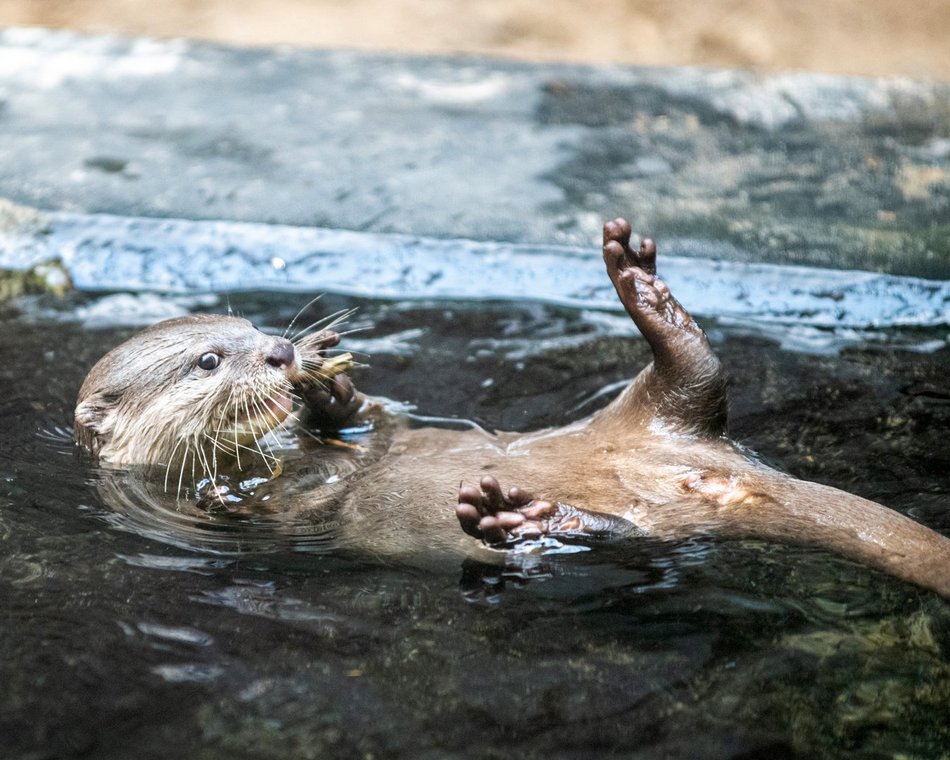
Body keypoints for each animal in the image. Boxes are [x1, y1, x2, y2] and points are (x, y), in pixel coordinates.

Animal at [76, 220, 950, 600]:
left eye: (253, 328)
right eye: (209, 360)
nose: (282, 354)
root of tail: (707, 472)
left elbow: (375, 430)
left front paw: (332, 395)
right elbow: (279, 504)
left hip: (646, 415)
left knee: (692, 375)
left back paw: (644, 291)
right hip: (652, 497)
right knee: (625, 536)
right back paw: (528, 519)